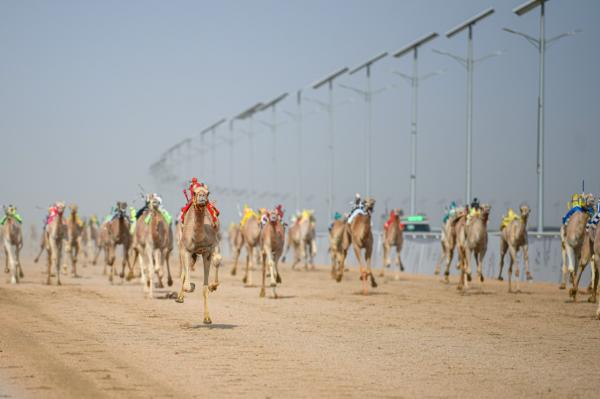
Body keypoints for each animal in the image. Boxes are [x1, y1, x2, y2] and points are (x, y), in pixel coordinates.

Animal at [176, 184, 220, 324]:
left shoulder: (208, 251)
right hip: (182, 247)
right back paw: (179, 297)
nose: (202, 198)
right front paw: (192, 285)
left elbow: (205, 288)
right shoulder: (186, 250)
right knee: (184, 273)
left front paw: (207, 318)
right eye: (195, 192)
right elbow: (186, 283)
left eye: (208, 192)